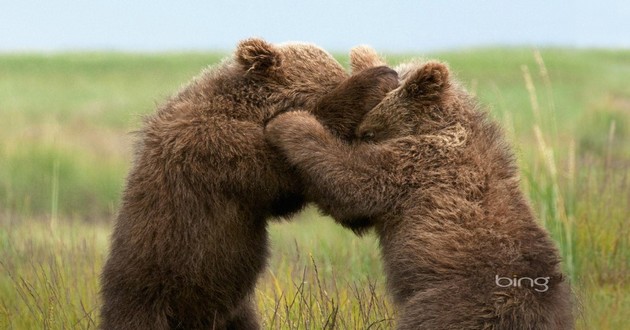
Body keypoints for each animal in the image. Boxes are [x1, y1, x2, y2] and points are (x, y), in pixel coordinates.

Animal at [100, 37, 400, 328]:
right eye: (333, 78)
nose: (366, 138)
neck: (249, 108)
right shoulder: (217, 145)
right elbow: (275, 167)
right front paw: (376, 78)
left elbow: (289, 194)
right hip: (152, 288)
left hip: (235, 310)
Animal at [266, 60, 576, 328]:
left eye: (368, 131)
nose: (355, 135)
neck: (439, 126)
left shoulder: (419, 166)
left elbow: (354, 183)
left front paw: (290, 122)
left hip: (454, 303)